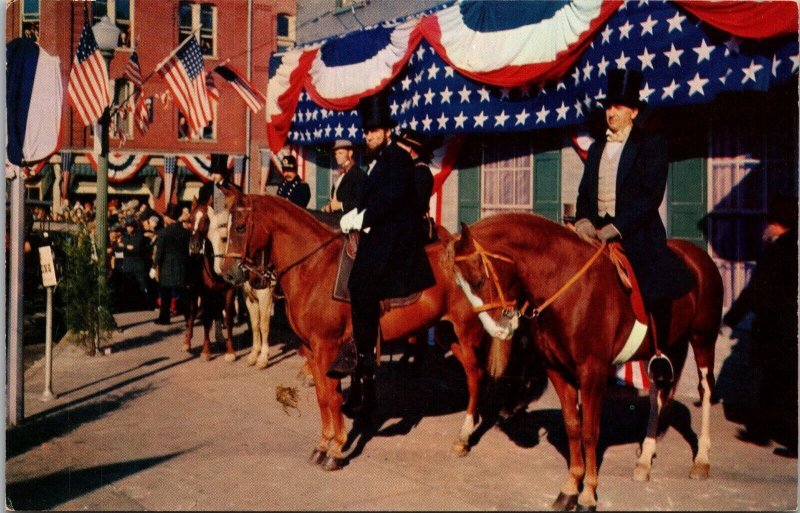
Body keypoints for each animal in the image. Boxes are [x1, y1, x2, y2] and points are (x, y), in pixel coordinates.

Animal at [187, 199, 238, 360]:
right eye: (190, 219)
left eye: (206, 220)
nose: (194, 247)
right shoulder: (205, 293)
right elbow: (206, 319)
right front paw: (205, 350)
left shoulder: (229, 291)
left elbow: (228, 319)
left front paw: (230, 351)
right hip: (194, 291)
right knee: (192, 312)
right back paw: (186, 341)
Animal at [219, 188, 506, 468]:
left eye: (241, 227)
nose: (228, 274)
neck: (314, 267)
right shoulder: (312, 350)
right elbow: (323, 396)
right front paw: (322, 444)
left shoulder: (327, 347)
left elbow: (332, 397)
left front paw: (336, 448)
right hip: (449, 335)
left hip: (467, 334)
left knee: (475, 377)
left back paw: (464, 437)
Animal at [450, 212, 724, 508]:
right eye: (461, 285)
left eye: (479, 280)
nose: (499, 330)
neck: (567, 282)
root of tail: (700, 256)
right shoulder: (558, 371)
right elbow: (573, 427)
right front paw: (570, 487)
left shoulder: (592, 372)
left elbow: (590, 431)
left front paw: (588, 493)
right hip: (669, 345)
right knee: (659, 392)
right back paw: (644, 460)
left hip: (703, 338)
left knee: (705, 390)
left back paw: (702, 460)